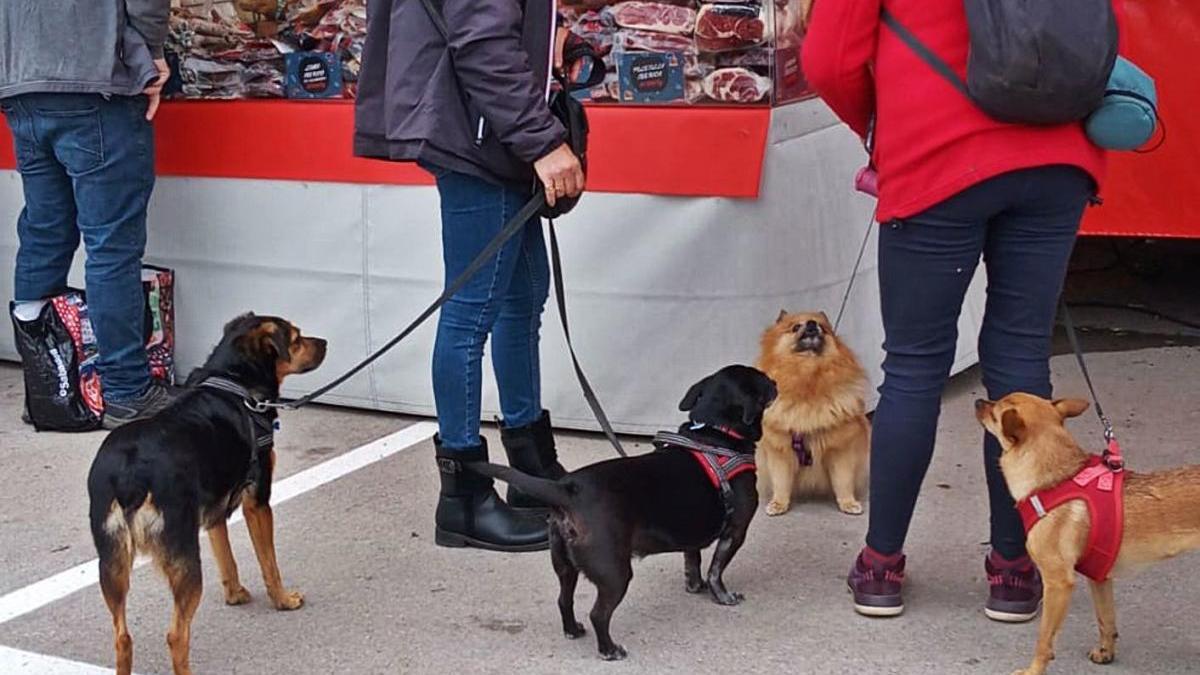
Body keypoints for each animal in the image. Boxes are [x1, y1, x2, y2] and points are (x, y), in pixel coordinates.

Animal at [86, 312, 326, 672]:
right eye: (296, 339)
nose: (324, 342)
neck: (234, 383)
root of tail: (131, 473)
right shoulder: (258, 503)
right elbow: (269, 564)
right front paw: (283, 600)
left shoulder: (214, 514)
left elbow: (227, 559)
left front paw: (235, 594)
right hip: (184, 557)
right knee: (176, 636)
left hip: (111, 562)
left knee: (122, 638)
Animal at [468, 362, 777, 658]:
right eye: (763, 380)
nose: (775, 381)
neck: (715, 434)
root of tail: (567, 490)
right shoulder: (735, 531)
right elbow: (716, 569)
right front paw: (722, 596)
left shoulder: (692, 536)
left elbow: (693, 562)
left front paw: (694, 585)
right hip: (615, 573)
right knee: (598, 614)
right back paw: (609, 649)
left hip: (565, 567)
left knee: (564, 599)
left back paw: (572, 630)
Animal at [979, 389, 1200, 672]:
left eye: (995, 412)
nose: (978, 402)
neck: (1057, 479)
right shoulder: (1100, 578)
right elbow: (1106, 620)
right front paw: (1106, 652)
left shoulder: (1058, 584)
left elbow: (1044, 640)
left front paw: (1033, 670)